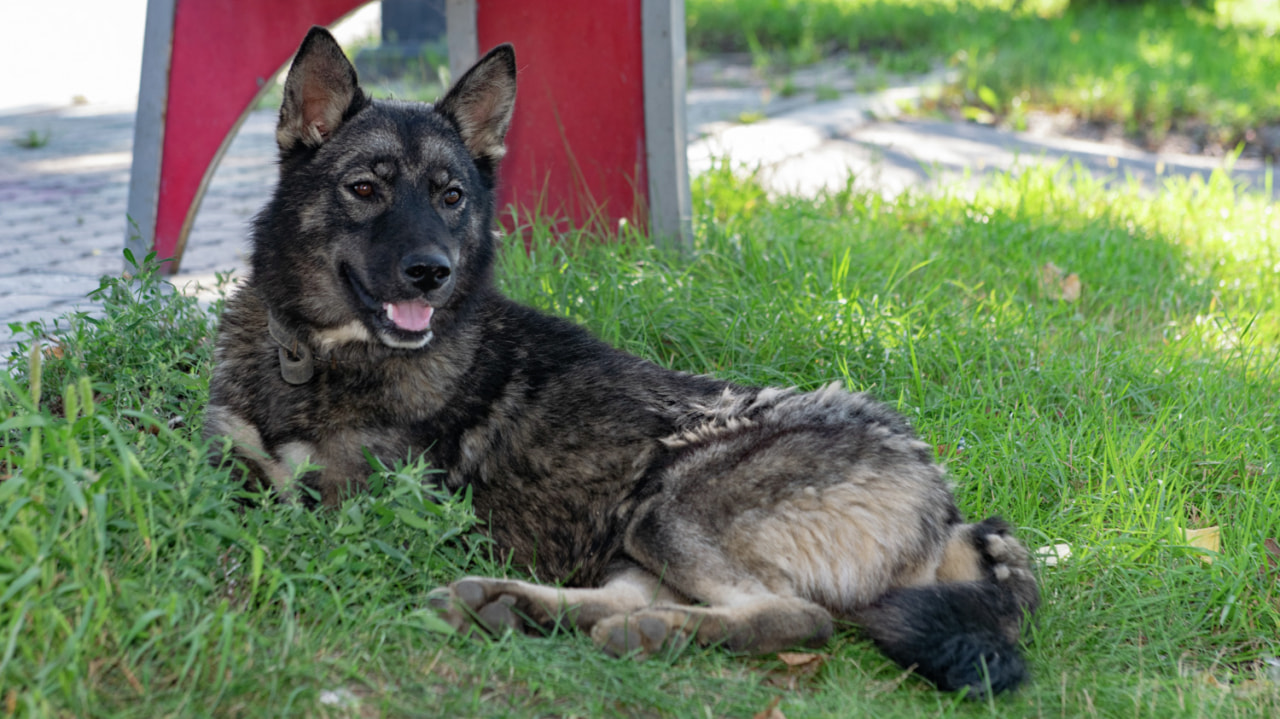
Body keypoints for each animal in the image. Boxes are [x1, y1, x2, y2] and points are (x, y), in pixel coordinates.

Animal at [202, 26, 1039, 695]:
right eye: (365, 188)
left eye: (451, 197)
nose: (432, 272)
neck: (315, 357)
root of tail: (946, 499)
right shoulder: (234, 440)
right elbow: (224, 461)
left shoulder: (354, 504)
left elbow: (262, 494)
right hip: (636, 522)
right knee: (638, 595)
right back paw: (513, 604)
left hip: (672, 501)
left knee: (793, 614)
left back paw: (642, 630)